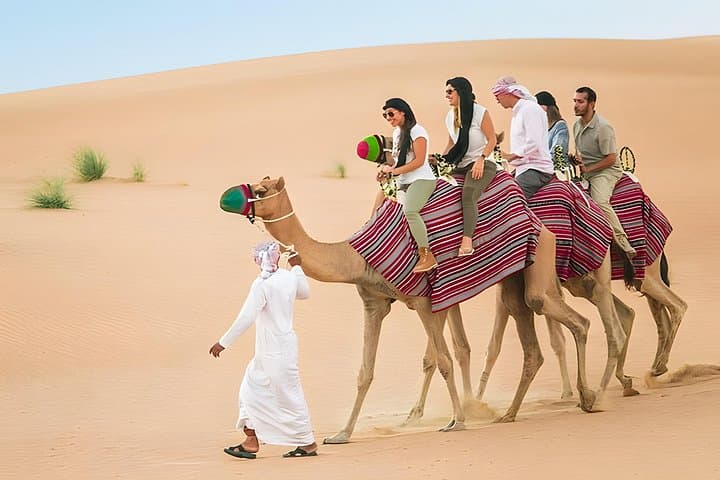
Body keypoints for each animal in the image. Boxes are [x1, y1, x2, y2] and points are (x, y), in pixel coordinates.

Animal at [222, 176, 598, 444]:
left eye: (260, 189)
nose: (226, 198)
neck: (354, 256)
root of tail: (535, 216)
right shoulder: (374, 303)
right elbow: (365, 371)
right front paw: (341, 434)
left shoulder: (423, 301)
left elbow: (443, 360)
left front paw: (457, 421)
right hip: (513, 279)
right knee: (535, 336)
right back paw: (514, 412)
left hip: (539, 260)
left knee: (571, 318)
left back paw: (587, 395)